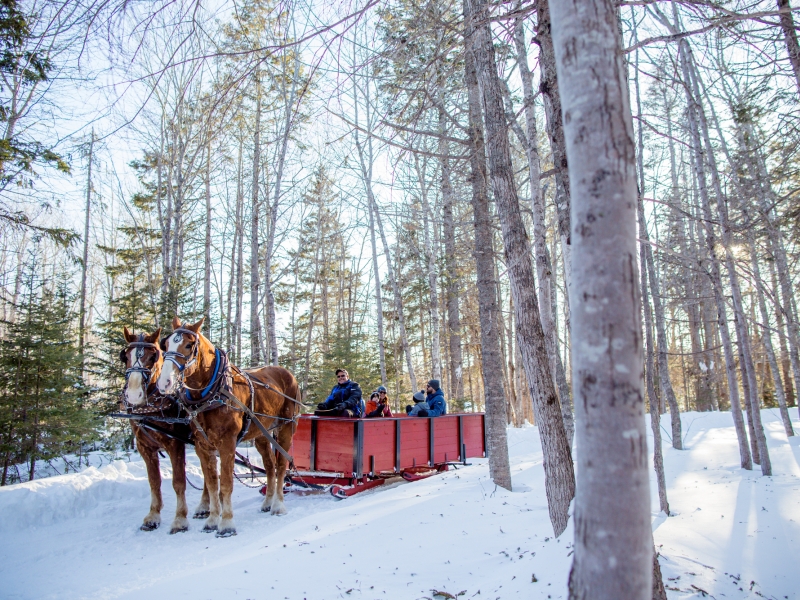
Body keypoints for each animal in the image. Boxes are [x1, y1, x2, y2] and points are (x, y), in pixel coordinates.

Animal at [119, 328, 209, 536]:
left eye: (153, 356)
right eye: (125, 356)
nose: (134, 394)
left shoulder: (175, 444)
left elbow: (178, 482)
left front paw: (180, 519)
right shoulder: (145, 447)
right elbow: (154, 482)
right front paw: (153, 516)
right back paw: (204, 506)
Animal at [155, 316, 298, 536]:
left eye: (189, 345)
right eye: (165, 344)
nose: (165, 383)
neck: (212, 394)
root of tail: (288, 374)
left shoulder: (227, 443)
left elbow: (226, 484)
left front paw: (227, 524)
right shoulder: (203, 446)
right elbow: (213, 483)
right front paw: (212, 520)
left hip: (285, 428)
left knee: (282, 464)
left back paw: (278, 505)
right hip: (261, 434)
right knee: (269, 466)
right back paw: (267, 502)